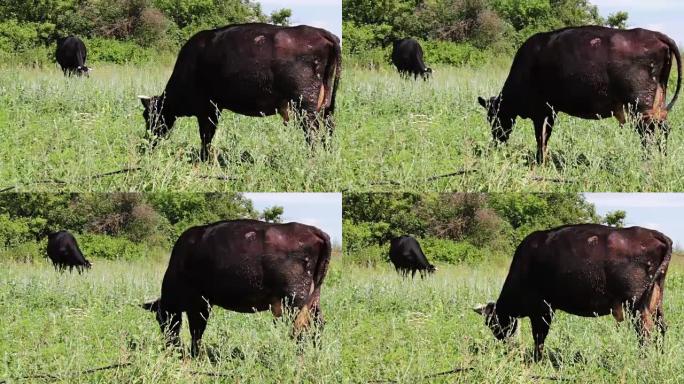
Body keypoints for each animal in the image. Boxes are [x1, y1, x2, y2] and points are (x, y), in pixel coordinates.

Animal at [139, 22, 342, 160]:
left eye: (148, 116)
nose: (146, 143)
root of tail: (321, 32)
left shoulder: (207, 108)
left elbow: (206, 135)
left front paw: (204, 159)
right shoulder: (215, 107)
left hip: (305, 105)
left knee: (312, 132)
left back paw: (312, 159)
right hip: (325, 104)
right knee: (329, 127)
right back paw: (328, 155)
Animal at [141, 219, 332, 356]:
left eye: (160, 318)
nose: (169, 343)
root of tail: (313, 230)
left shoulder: (199, 302)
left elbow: (197, 330)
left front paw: (195, 355)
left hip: (294, 301)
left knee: (300, 329)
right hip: (312, 298)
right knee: (318, 325)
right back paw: (316, 353)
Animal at [472, 224, 672, 362]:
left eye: (492, 322)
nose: (501, 340)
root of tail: (653, 234)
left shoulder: (542, 309)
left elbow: (539, 336)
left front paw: (537, 360)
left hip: (636, 305)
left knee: (645, 332)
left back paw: (643, 360)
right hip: (655, 299)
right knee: (661, 326)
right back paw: (660, 356)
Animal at [478, 26, 680, 163]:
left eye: (493, 117)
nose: (496, 140)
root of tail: (655, 34)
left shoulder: (541, 111)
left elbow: (541, 137)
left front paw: (539, 161)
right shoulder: (551, 110)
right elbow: (546, 136)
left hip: (640, 106)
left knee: (648, 133)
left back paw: (647, 161)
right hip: (656, 102)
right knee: (663, 128)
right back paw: (662, 158)